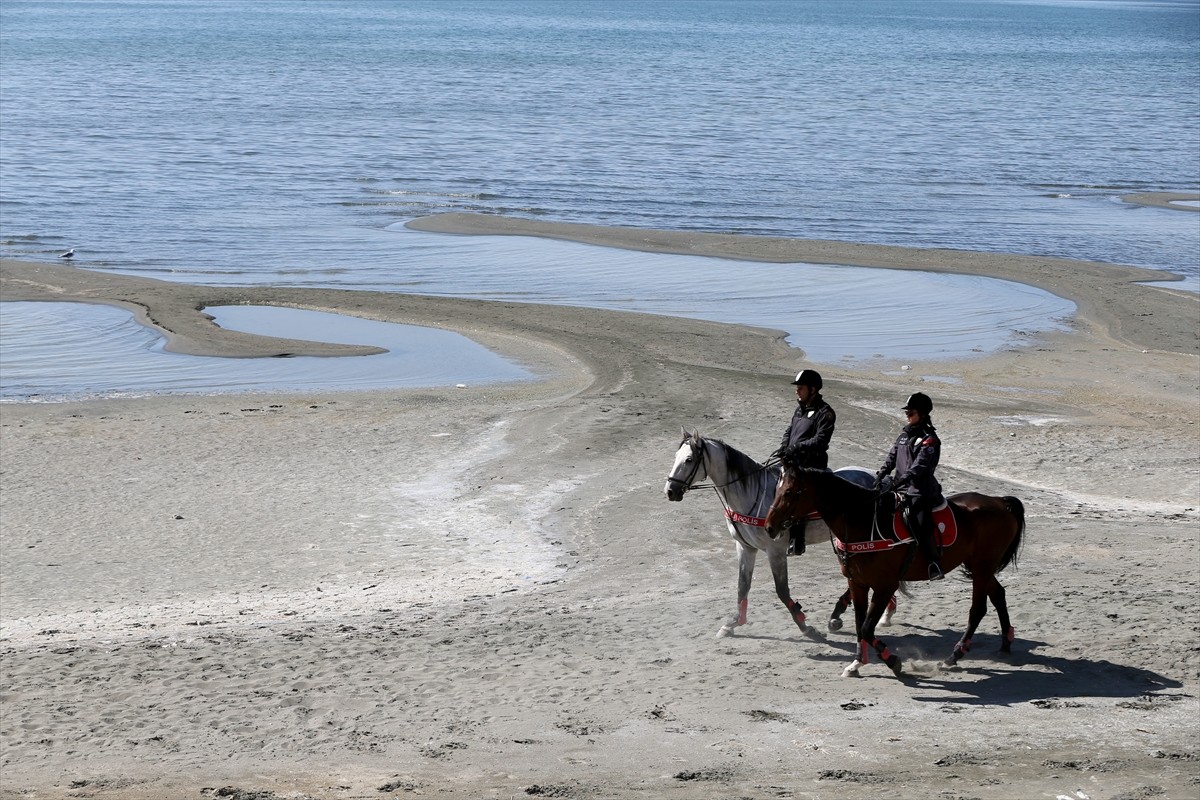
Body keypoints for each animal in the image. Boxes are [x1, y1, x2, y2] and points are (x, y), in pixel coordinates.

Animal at [667, 429, 892, 642]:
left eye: (689, 459)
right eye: (676, 456)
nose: (670, 490)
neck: (751, 494)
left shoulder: (775, 551)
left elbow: (782, 590)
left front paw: (806, 627)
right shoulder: (745, 548)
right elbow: (742, 586)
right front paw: (733, 623)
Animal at [768, 465, 1022, 681]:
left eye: (789, 492)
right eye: (776, 490)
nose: (770, 526)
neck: (862, 521)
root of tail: (999, 502)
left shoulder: (885, 586)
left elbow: (867, 627)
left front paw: (892, 661)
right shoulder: (856, 583)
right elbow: (860, 624)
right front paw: (857, 663)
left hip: (981, 567)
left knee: (978, 609)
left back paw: (954, 655)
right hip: (980, 567)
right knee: (998, 595)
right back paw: (1005, 645)